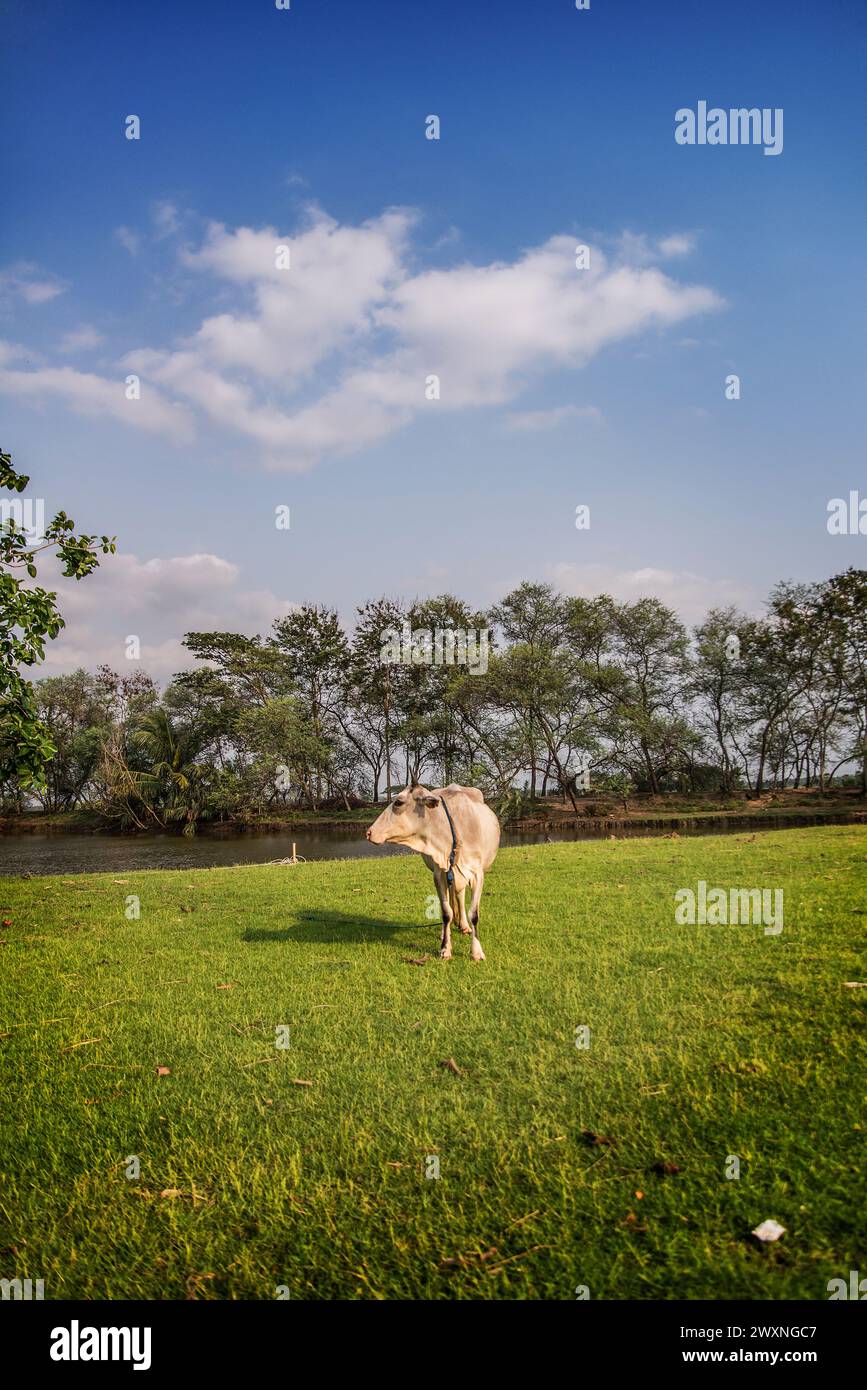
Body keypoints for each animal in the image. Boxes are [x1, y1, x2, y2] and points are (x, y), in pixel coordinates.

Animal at [366, 789, 500, 961]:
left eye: (398, 802)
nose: (369, 832)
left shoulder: (477, 874)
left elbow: (474, 914)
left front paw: (477, 952)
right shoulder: (439, 874)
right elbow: (446, 913)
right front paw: (445, 948)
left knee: (460, 895)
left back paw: (464, 926)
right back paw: (447, 931)